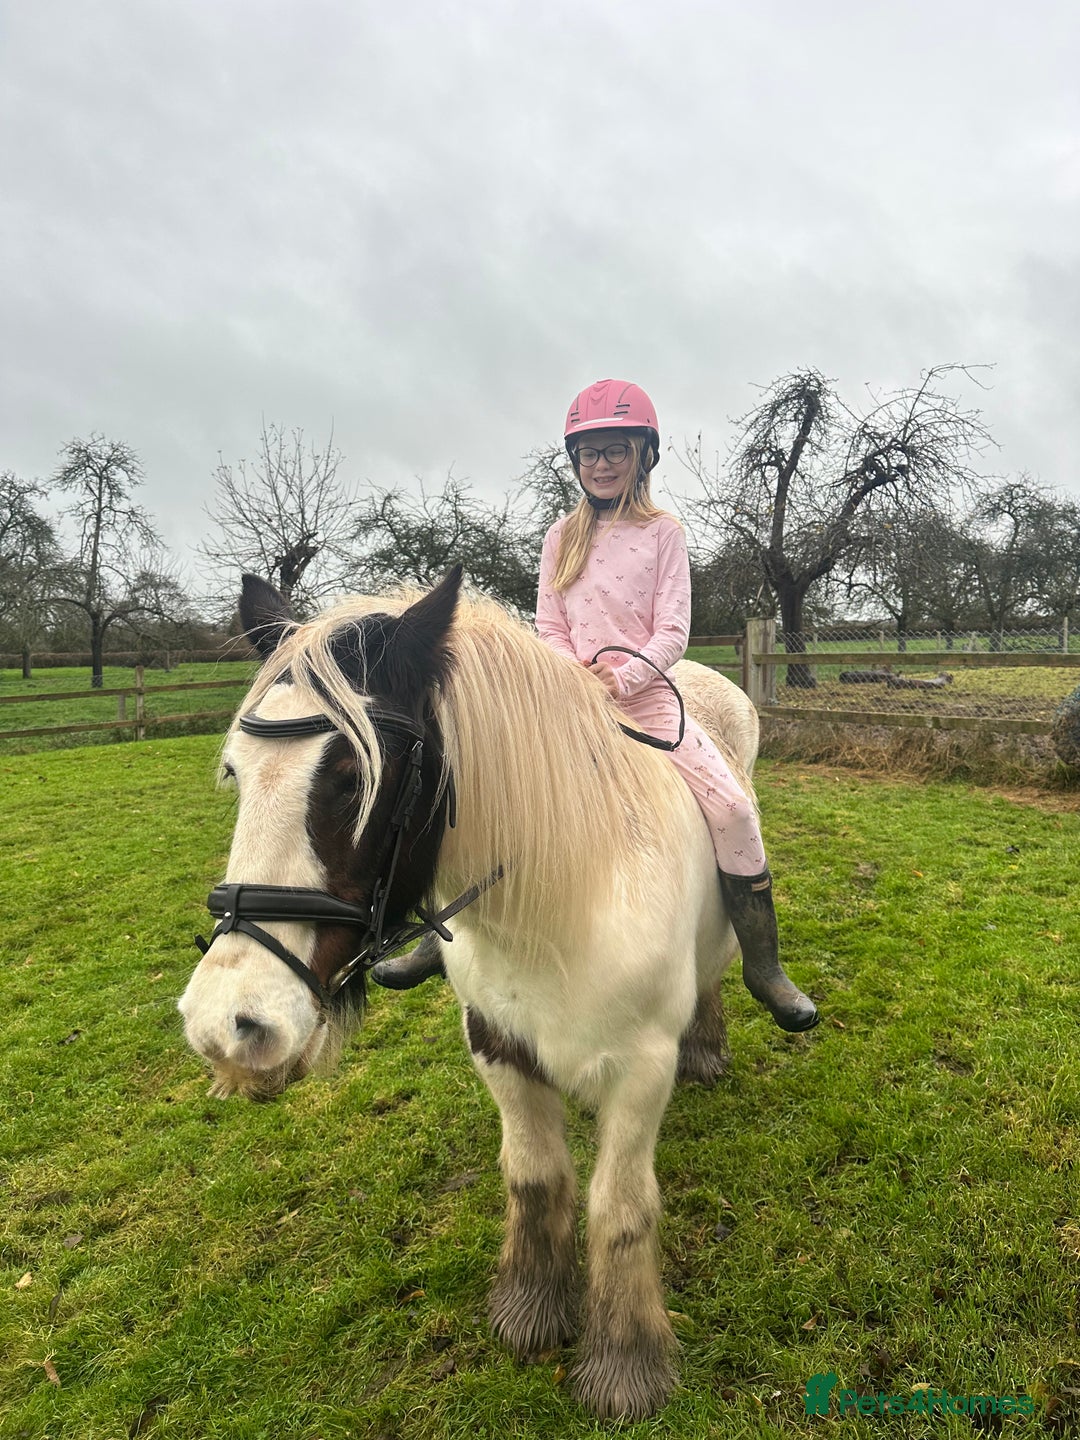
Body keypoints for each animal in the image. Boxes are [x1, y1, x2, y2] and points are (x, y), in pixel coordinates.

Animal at [179, 566, 763, 1421]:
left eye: (353, 779)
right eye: (236, 773)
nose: (227, 1024)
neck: (562, 899)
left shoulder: (640, 1069)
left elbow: (619, 1208)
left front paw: (625, 1364)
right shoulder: (495, 1041)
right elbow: (533, 1175)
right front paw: (530, 1308)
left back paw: (710, 1046)